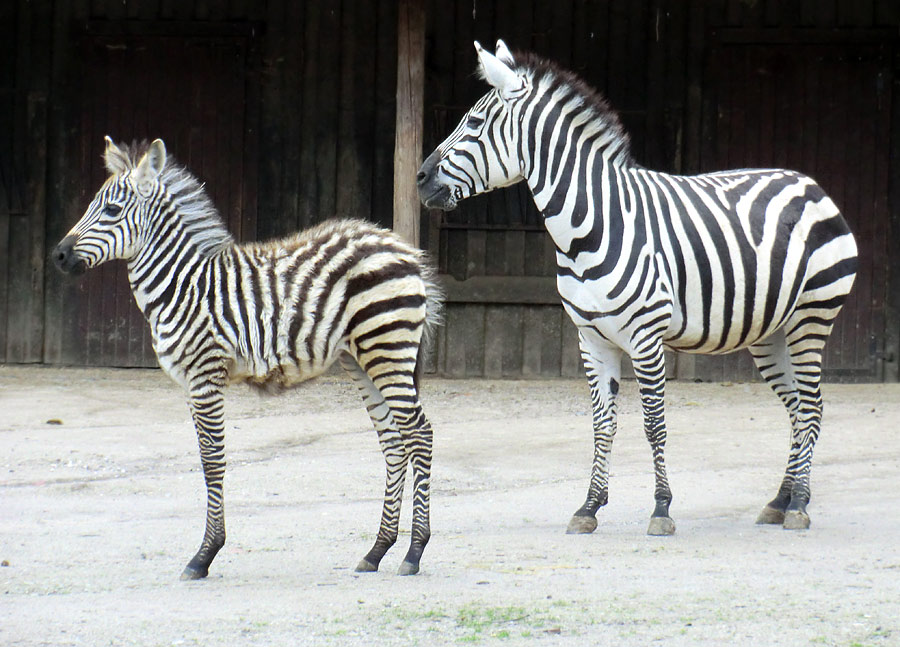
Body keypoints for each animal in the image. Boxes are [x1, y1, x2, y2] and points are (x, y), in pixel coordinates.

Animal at [52, 138, 442, 584]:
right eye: (92, 205)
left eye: (113, 210)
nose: (58, 255)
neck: (183, 284)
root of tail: (403, 250)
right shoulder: (190, 382)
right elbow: (207, 456)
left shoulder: (205, 374)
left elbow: (212, 459)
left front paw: (204, 555)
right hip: (361, 358)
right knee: (394, 441)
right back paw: (377, 550)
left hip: (387, 347)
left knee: (420, 434)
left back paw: (413, 552)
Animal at [418, 39, 860, 536]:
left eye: (474, 123)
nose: (420, 179)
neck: (589, 226)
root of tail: (808, 182)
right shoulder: (591, 338)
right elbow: (602, 424)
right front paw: (589, 507)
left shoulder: (646, 337)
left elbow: (653, 424)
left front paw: (662, 508)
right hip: (771, 333)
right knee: (797, 408)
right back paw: (780, 500)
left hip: (812, 318)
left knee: (812, 407)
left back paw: (800, 504)